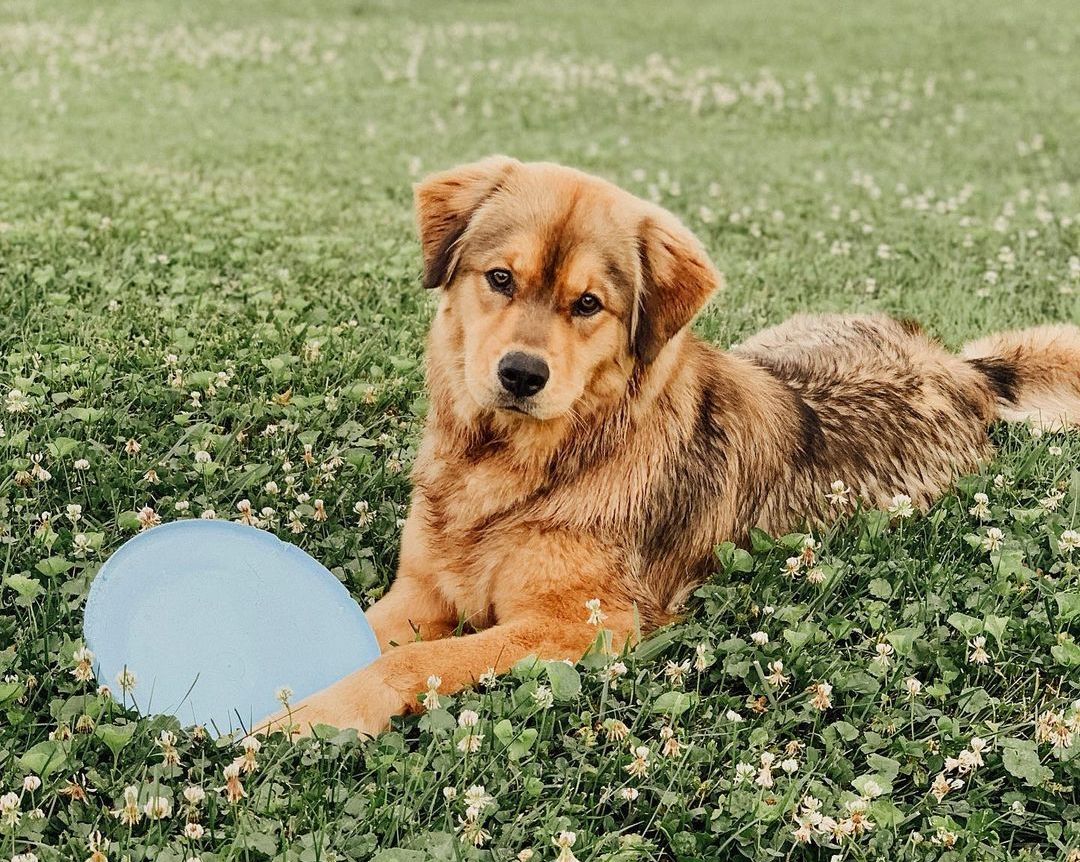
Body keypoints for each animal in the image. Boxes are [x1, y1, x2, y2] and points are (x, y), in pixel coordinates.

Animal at [263, 158, 1080, 738]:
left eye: (588, 304)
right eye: (499, 278)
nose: (521, 374)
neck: (515, 466)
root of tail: (965, 370)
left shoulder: (585, 625)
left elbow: (419, 662)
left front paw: (315, 714)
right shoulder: (421, 592)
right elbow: (364, 629)